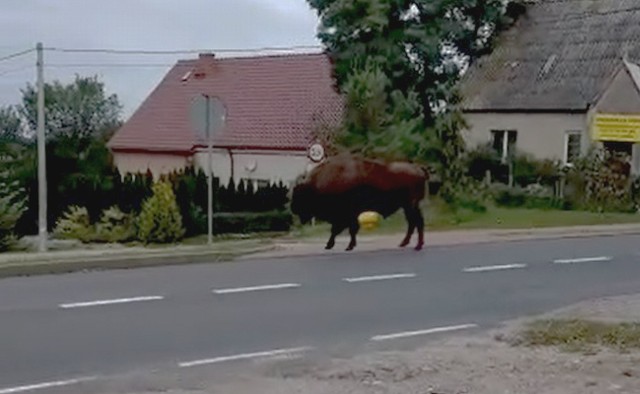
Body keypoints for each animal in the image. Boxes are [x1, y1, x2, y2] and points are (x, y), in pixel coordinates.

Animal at [290, 152, 430, 251]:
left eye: (299, 196)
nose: (292, 208)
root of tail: (418, 168)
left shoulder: (346, 215)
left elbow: (345, 229)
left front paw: (346, 246)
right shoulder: (345, 216)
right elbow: (341, 230)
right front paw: (333, 245)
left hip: (411, 205)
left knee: (417, 222)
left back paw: (417, 246)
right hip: (408, 206)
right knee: (413, 223)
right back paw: (404, 243)